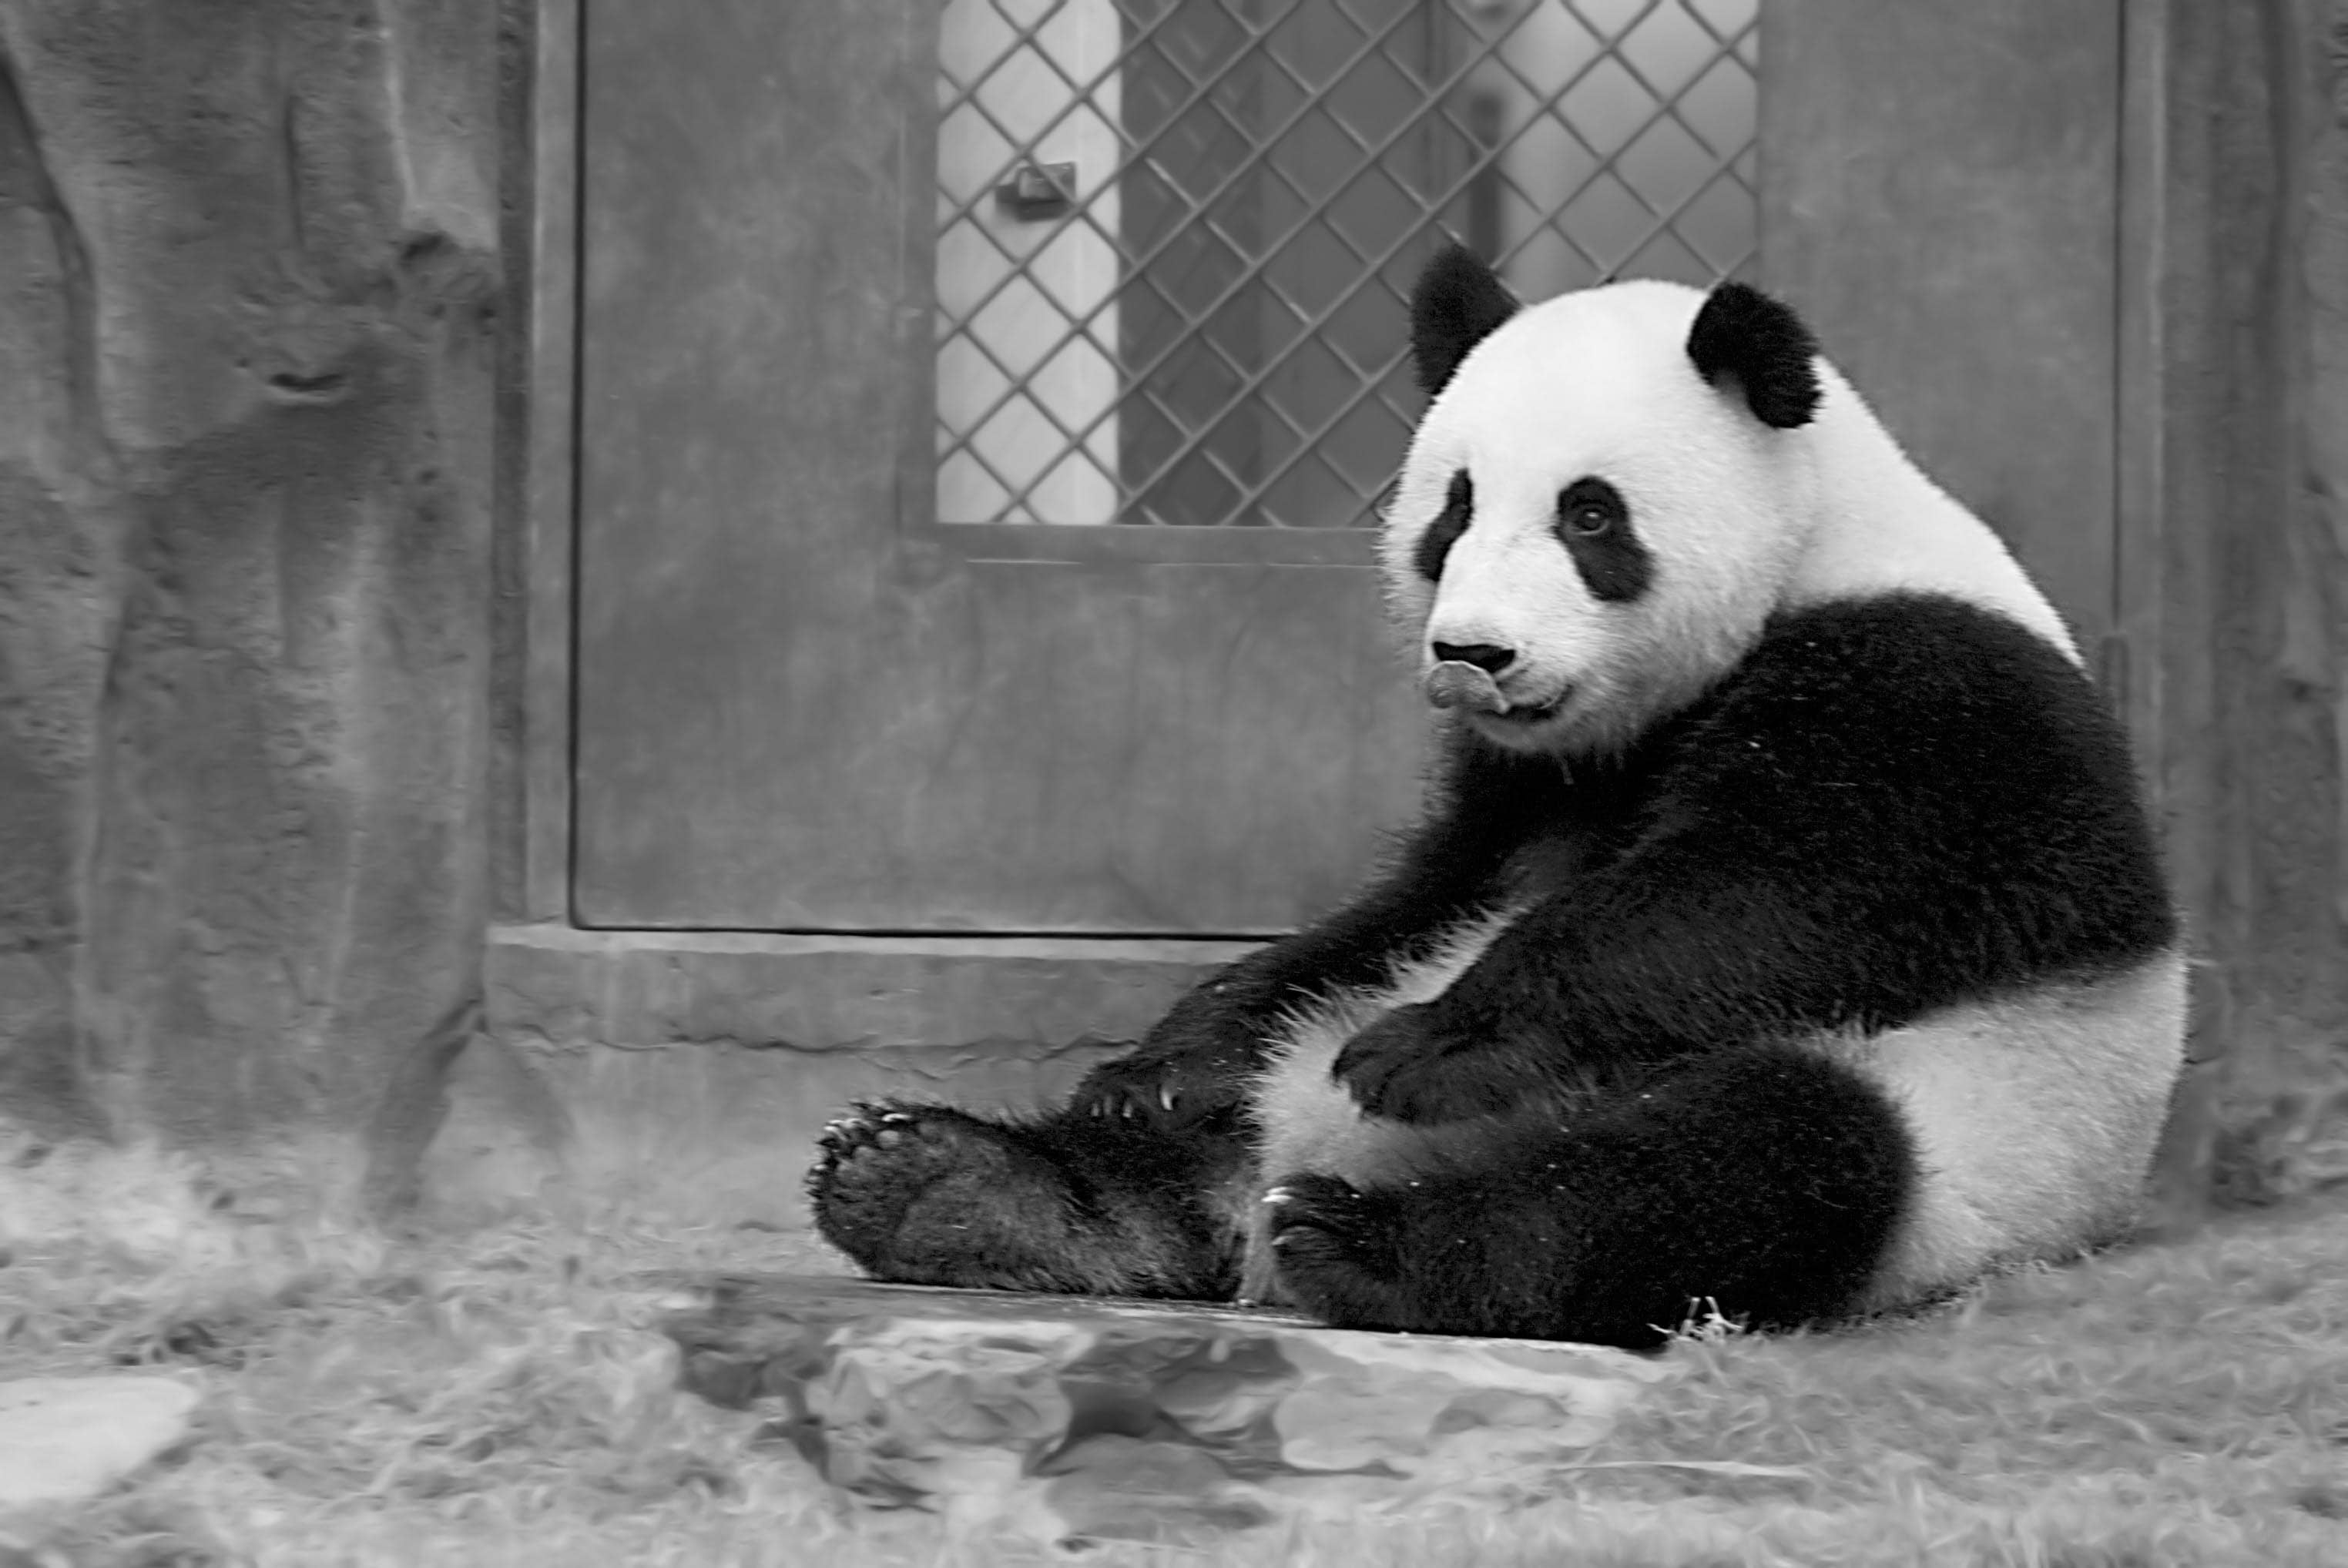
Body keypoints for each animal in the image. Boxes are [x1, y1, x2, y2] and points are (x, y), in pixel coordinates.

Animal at [806, 244, 2186, 1350]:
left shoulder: (1941, 694)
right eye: (1453, 507)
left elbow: (1793, 887)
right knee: (1193, 1161)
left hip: (1959, 1125)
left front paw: (1434, 1046)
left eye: (1591, 516)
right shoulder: (1525, 781)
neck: (1814, 547)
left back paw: (1369, 1249)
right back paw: (950, 1183)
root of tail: (1289, 1175)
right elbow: (1409, 902)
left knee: (1745, 1164)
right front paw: (1163, 1063)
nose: (1474, 654)